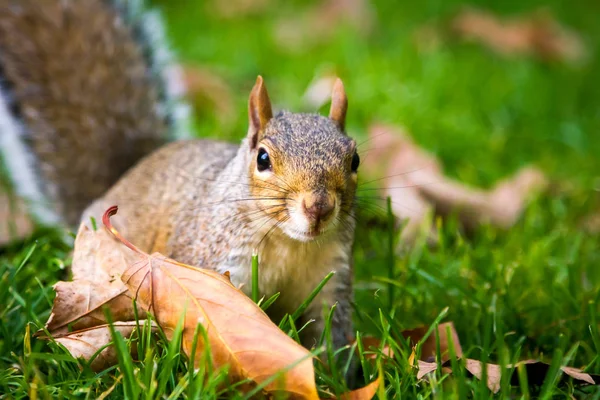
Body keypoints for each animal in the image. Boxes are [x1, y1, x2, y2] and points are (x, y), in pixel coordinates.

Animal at [0, 2, 358, 354]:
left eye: (354, 159)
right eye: (263, 159)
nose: (319, 207)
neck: (289, 244)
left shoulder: (331, 284)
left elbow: (331, 339)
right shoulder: (217, 266)